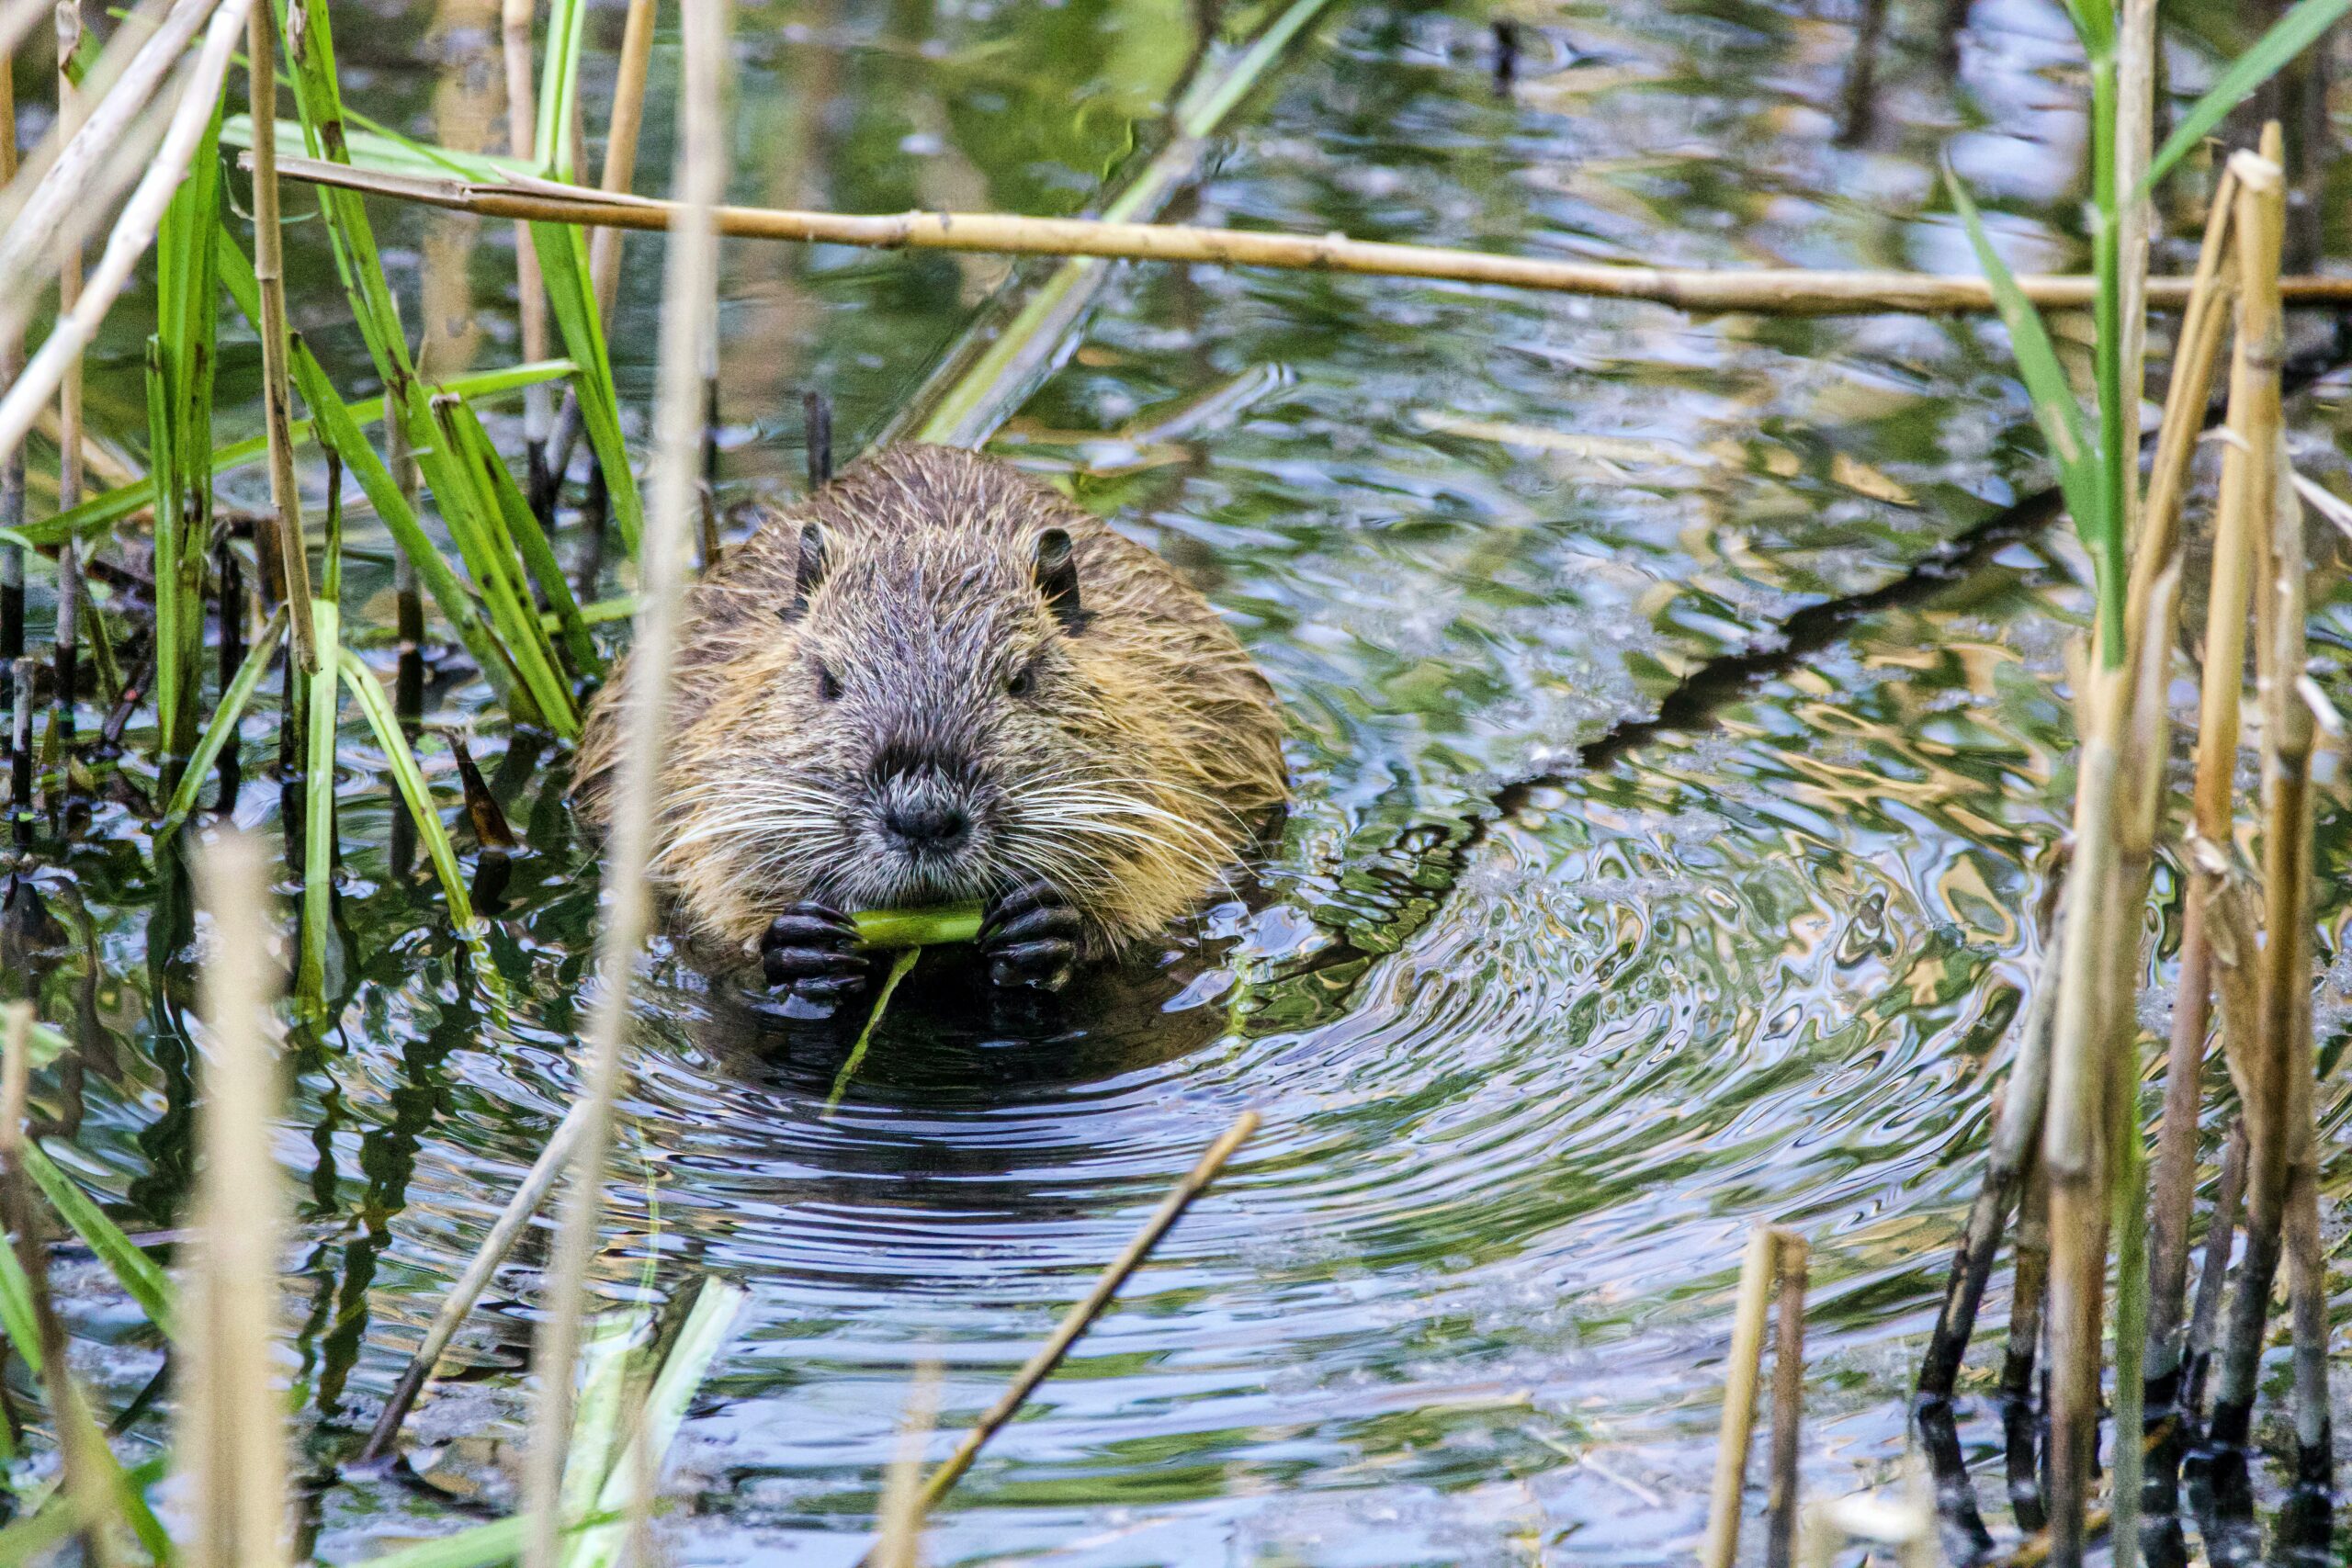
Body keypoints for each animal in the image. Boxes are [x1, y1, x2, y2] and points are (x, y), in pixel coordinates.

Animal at [576, 442, 1298, 1006]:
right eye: (827, 679)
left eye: (1021, 678)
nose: (923, 817)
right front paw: (800, 941)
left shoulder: (1181, 721)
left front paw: (1046, 927)